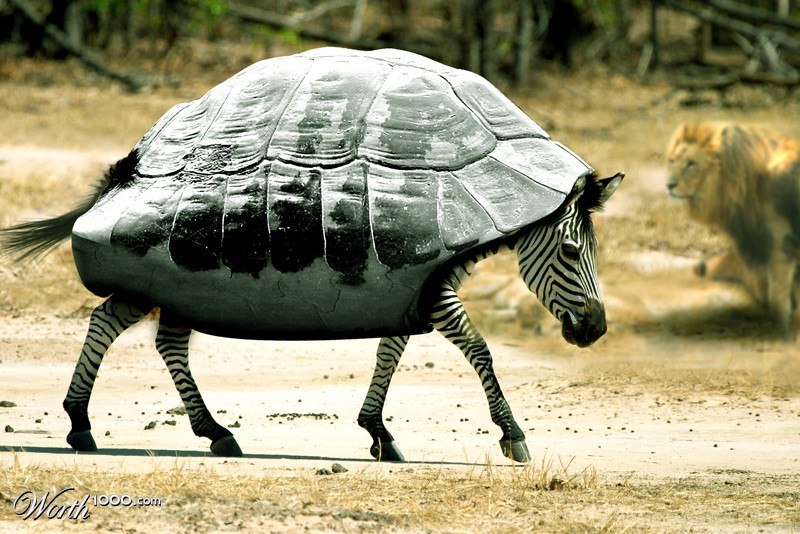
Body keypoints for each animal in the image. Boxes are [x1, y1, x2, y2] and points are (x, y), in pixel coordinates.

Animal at [1, 171, 622, 462]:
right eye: (572, 252)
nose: (596, 329)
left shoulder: (411, 291)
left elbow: (390, 349)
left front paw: (376, 431)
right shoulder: (434, 294)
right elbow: (480, 351)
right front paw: (513, 435)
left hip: (172, 293)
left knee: (153, 337)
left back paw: (207, 430)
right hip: (158, 282)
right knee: (110, 323)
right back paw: (82, 422)